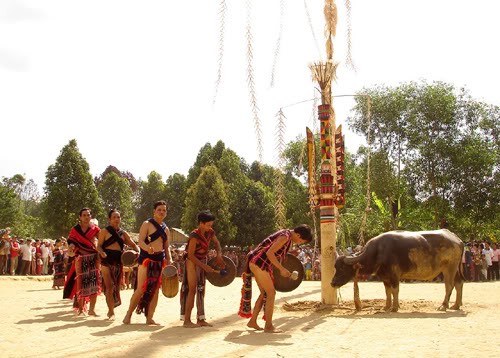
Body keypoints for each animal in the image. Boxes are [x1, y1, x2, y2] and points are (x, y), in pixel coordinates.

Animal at [332, 229, 464, 310]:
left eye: (342, 268)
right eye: (335, 267)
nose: (332, 283)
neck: (378, 251)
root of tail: (458, 240)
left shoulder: (394, 275)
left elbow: (395, 290)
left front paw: (395, 307)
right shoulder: (384, 277)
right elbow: (388, 291)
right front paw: (386, 306)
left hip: (449, 268)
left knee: (449, 285)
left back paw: (444, 305)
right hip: (456, 269)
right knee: (459, 283)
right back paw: (456, 305)